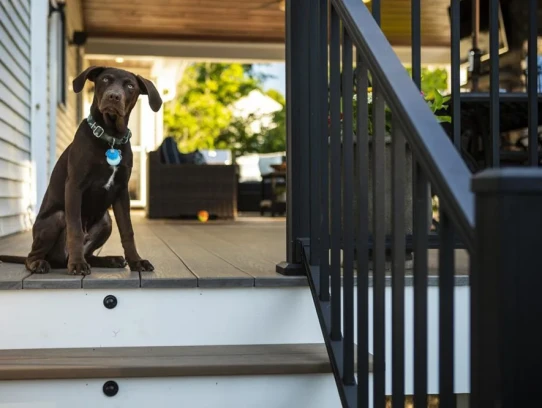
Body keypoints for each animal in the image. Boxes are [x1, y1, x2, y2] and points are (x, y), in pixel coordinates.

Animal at [0, 67, 162, 276]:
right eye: (105, 80)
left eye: (130, 86)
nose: (113, 96)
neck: (110, 137)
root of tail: (60, 260)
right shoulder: (74, 186)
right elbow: (75, 230)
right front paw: (77, 264)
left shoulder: (121, 191)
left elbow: (128, 230)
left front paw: (136, 261)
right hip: (57, 218)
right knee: (32, 256)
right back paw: (43, 263)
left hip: (106, 221)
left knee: (90, 254)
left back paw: (110, 260)